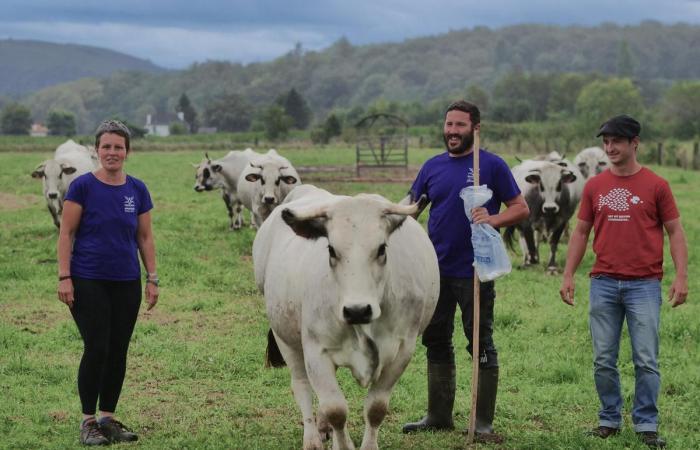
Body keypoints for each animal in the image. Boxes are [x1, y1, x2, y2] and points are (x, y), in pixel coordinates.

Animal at [252, 184, 438, 450]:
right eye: (331, 249)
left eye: (382, 248)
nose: (357, 310)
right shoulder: (316, 352)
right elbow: (336, 409)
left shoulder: (402, 352)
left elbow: (376, 408)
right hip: (285, 338)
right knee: (302, 386)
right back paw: (312, 438)